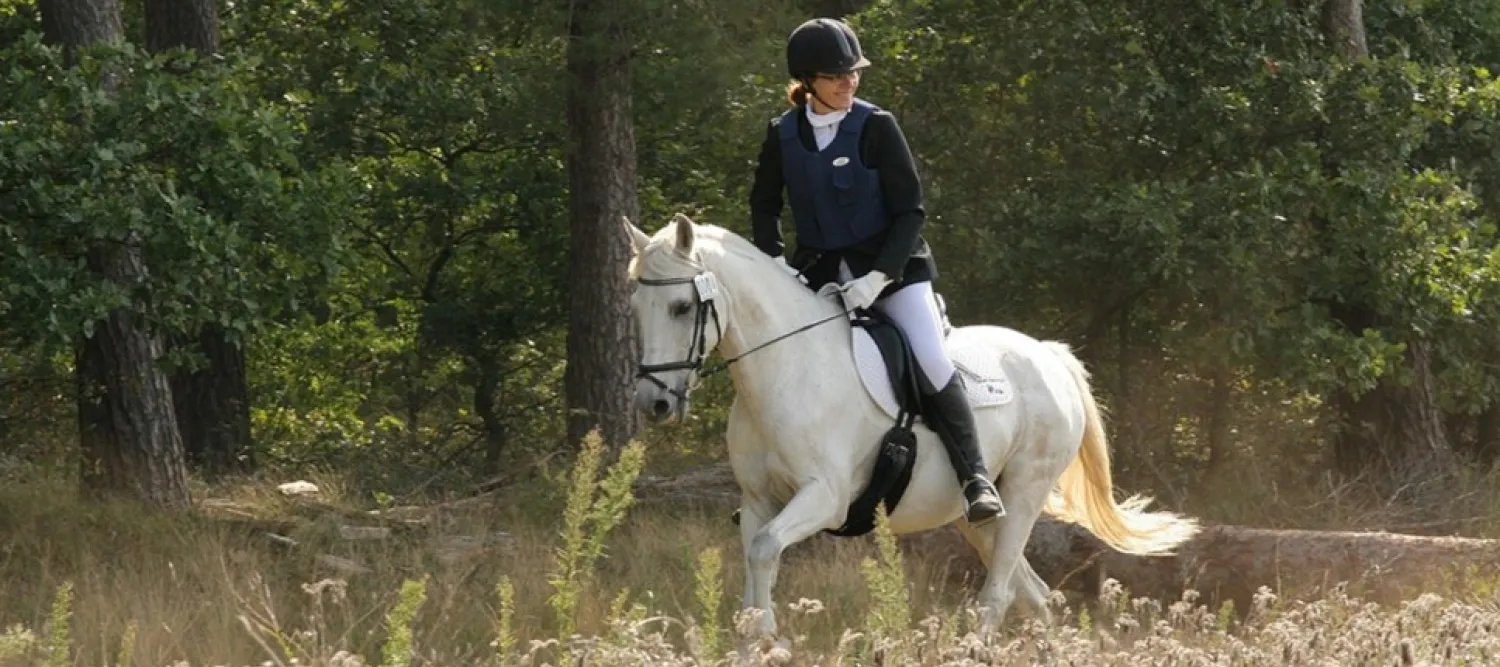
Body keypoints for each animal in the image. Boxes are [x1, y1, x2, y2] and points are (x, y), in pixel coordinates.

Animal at [622, 212, 1199, 640]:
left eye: (681, 307)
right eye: (635, 307)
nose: (654, 403)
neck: (786, 368)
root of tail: (1049, 355)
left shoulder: (824, 497)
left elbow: (765, 551)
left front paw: (772, 642)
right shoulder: (760, 499)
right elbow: (753, 573)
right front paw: (758, 642)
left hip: (1026, 491)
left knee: (998, 595)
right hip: (974, 517)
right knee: (1033, 595)